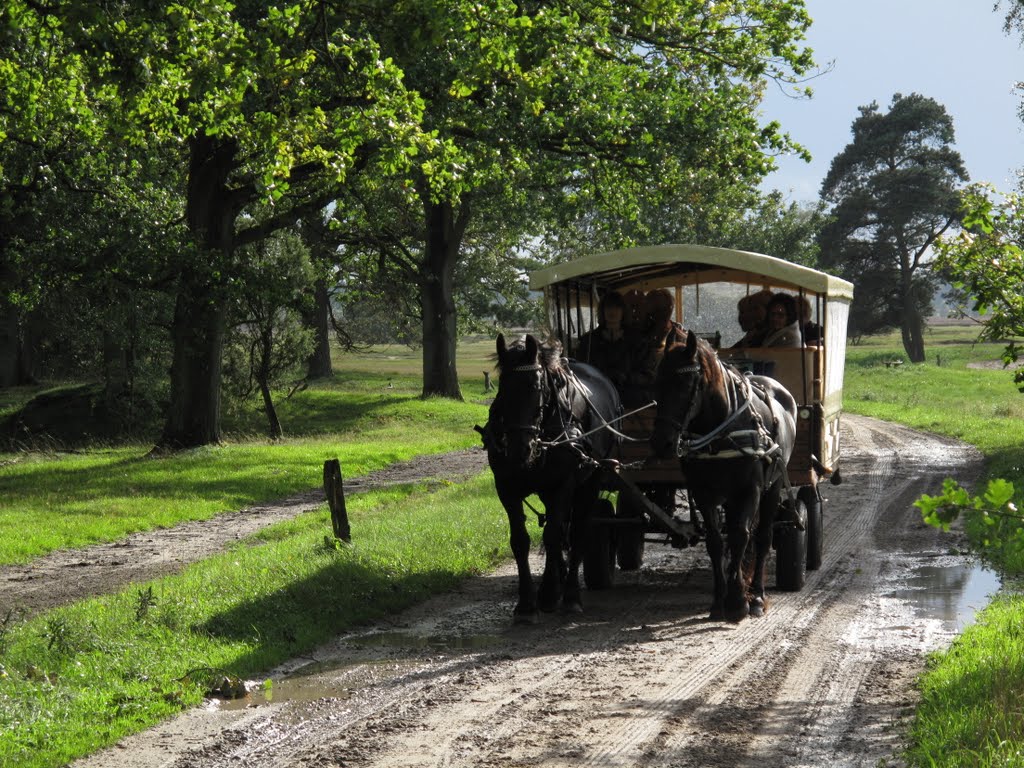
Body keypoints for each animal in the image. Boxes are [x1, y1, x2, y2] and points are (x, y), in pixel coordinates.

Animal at [481, 333, 618, 622]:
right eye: (502, 385)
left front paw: (550, 594)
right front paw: (526, 603)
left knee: (577, 532)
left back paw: (568, 593)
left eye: (535, 385)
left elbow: (554, 535)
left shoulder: (564, 484)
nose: (518, 448)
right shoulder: (506, 487)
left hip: (590, 482)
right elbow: (520, 541)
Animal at [651, 333, 794, 622]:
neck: (722, 431)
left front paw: (738, 601)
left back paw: (757, 596)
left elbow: (741, 536)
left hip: (772, 488)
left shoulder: (750, 490)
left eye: (686, 383)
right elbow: (717, 542)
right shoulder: (703, 492)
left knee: (762, 538)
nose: (661, 443)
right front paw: (720, 600)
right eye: (657, 382)